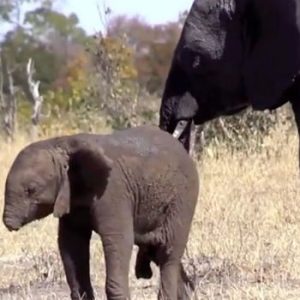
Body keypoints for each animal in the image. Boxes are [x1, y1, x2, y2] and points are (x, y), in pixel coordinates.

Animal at [2, 126, 199, 300]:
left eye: (31, 190)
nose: (8, 224)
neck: (61, 143)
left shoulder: (113, 191)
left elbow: (119, 239)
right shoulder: (73, 199)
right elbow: (71, 244)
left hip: (183, 200)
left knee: (168, 254)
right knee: (156, 251)